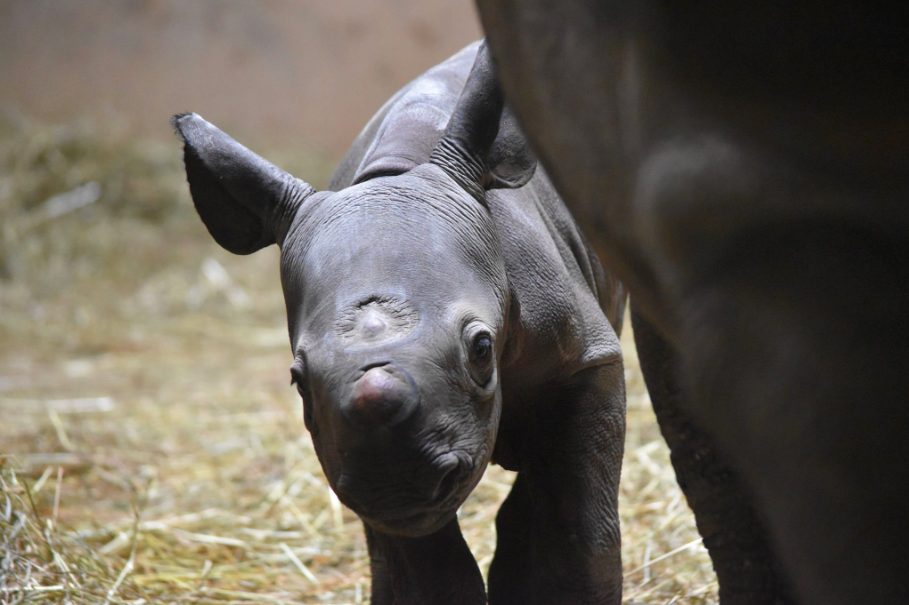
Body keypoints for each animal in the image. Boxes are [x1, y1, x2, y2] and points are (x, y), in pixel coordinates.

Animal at [172, 42, 624, 604]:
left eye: (481, 349)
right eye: (298, 382)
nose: (394, 480)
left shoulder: (583, 359)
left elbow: (572, 527)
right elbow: (426, 566)